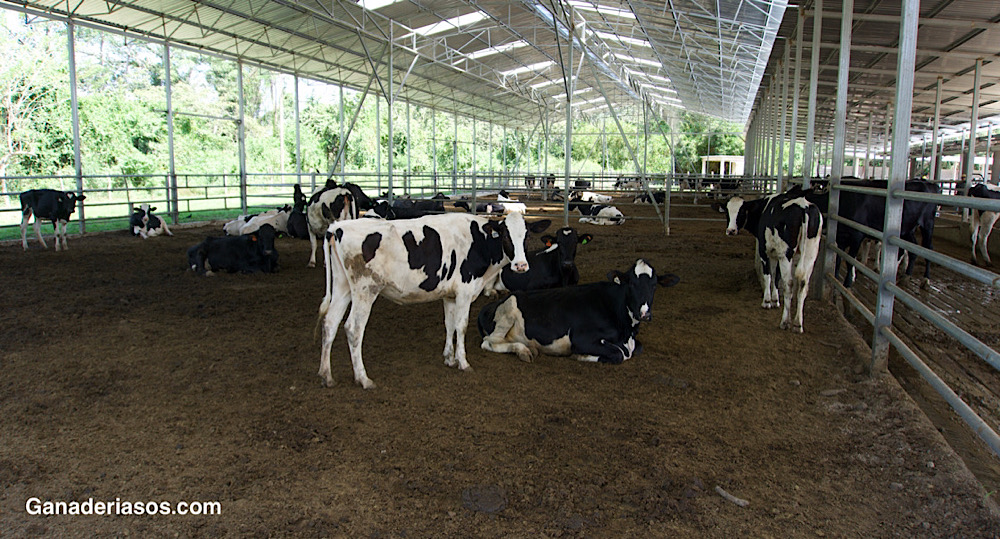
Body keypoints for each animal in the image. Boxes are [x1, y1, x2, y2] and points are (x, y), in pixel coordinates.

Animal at [316, 211, 552, 388]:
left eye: (526, 236)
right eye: (505, 236)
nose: (521, 265)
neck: (479, 243)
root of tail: (337, 227)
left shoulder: (449, 294)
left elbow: (449, 324)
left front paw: (449, 358)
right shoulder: (465, 291)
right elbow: (461, 326)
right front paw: (463, 362)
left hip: (342, 287)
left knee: (330, 323)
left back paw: (326, 375)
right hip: (365, 289)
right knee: (353, 328)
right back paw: (363, 378)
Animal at [476, 260, 680, 364]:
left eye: (654, 285)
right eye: (631, 283)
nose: (644, 314)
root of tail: (487, 307)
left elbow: (637, 348)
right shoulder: (581, 339)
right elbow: (619, 354)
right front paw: (582, 356)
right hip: (508, 311)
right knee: (489, 343)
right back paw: (524, 351)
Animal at [716, 192, 824, 332]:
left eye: (741, 212)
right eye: (727, 212)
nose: (731, 231)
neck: (763, 209)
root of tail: (804, 206)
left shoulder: (765, 250)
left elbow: (768, 275)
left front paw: (767, 301)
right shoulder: (777, 254)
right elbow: (776, 276)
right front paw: (775, 300)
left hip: (786, 254)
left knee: (789, 284)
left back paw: (785, 321)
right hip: (811, 253)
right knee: (803, 285)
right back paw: (797, 323)